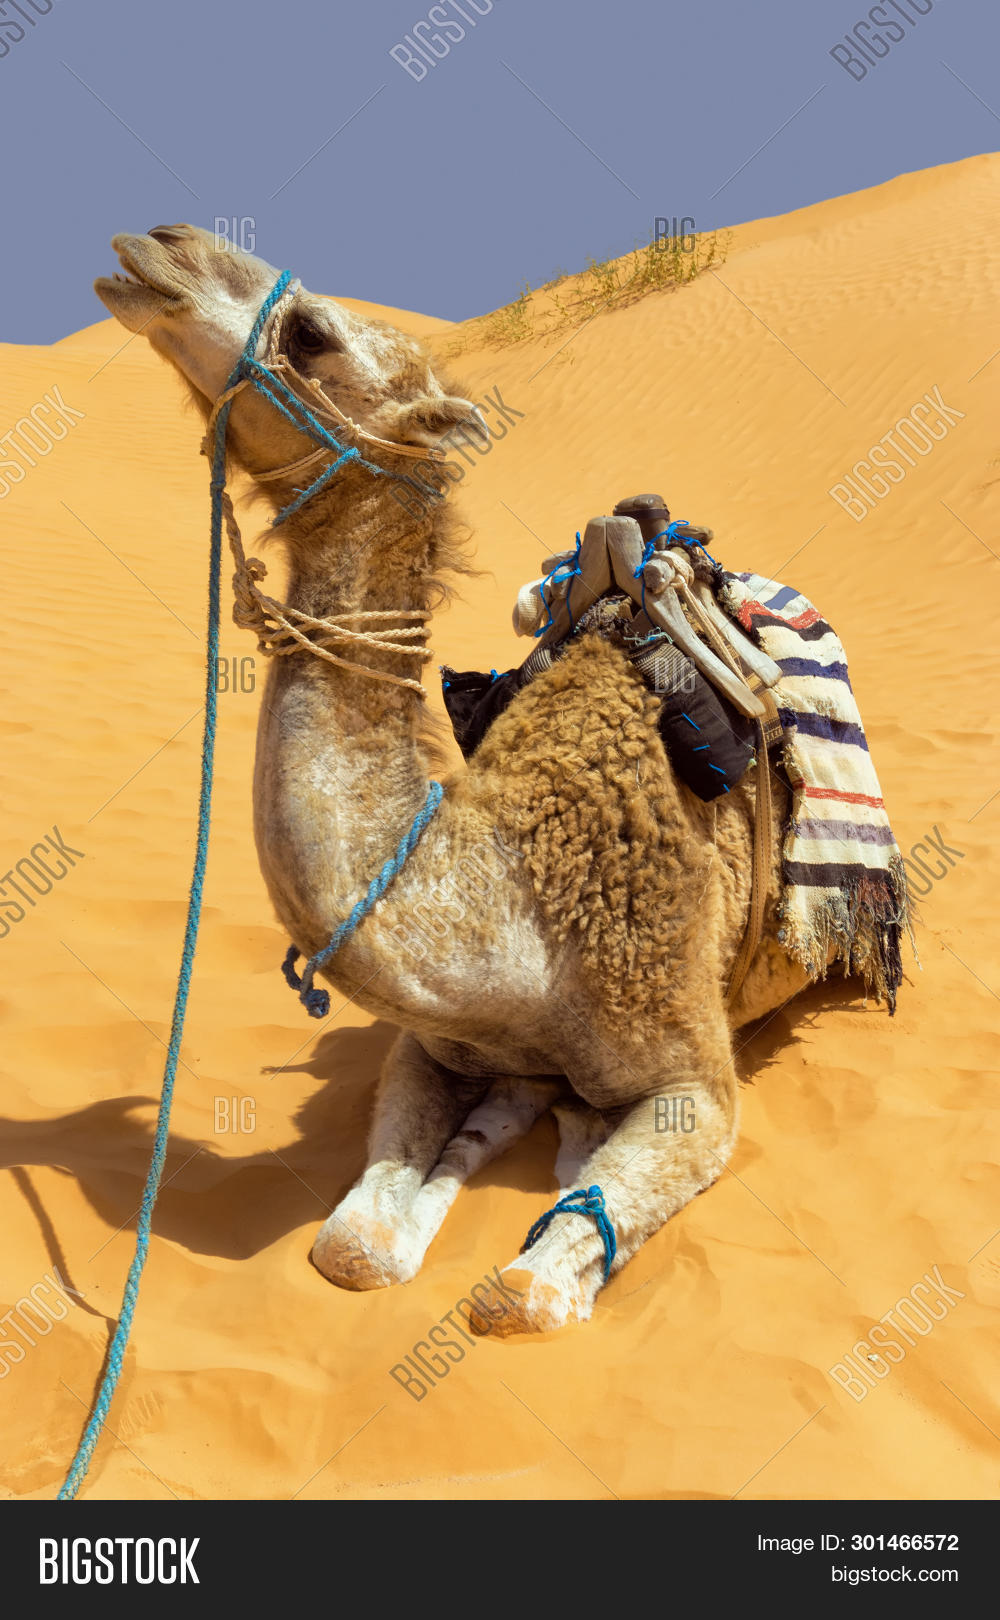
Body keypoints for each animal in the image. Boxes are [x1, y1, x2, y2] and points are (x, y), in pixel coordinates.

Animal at [94, 224, 817, 1336]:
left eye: (312, 335)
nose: (156, 245)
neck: (517, 917)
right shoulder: (431, 1041)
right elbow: (348, 1248)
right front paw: (490, 1141)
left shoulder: (696, 1075)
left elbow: (516, 1297)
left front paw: (556, 1184)